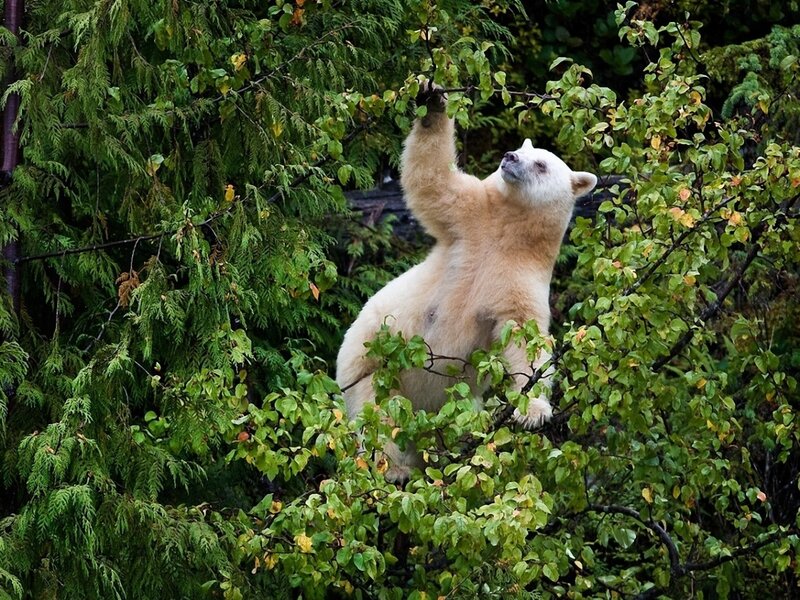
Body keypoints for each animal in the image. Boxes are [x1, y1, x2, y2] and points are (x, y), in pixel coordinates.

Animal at [336, 85, 597, 482]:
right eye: (520, 149)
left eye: (541, 163)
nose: (509, 157)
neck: (506, 231)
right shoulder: (468, 220)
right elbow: (433, 182)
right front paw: (432, 101)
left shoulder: (522, 276)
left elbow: (525, 335)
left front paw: (533, 412)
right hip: (367, 363)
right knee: (378, 413)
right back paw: (394, 468)